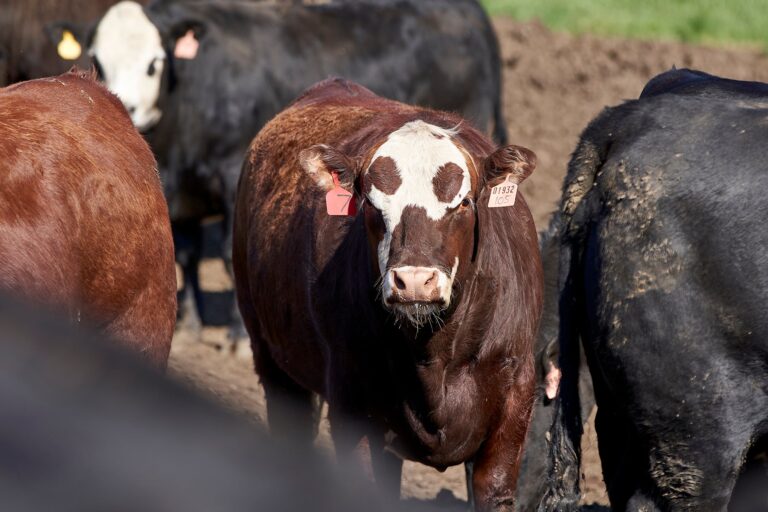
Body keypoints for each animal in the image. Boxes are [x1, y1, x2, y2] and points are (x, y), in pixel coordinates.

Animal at [85, 0, 508, 338]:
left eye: (153, 64)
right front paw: (190, 324)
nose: (126, 105)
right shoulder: (182, 191)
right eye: (99, 62)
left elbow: (228, 255)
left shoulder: (232, 174)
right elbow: (185, 252)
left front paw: (238, 335)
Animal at [233, 78, 543, 511]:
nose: (413, 281)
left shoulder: (514, 398)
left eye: (463, 202)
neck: (435, 355)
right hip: (272, 360)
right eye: (371, 204)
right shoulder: (351, 404)